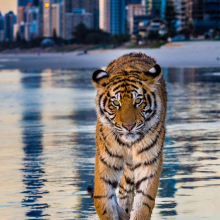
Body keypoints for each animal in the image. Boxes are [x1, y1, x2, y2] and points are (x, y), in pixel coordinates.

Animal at [90, 52, 166, 220]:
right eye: (116, 103)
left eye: (138, 101)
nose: (129, 126)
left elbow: (143, 202)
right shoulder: (106, 160)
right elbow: (103, 201)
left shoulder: (149, 160)